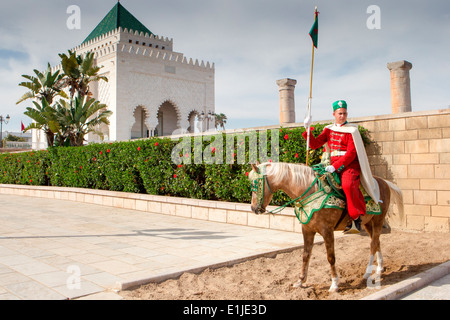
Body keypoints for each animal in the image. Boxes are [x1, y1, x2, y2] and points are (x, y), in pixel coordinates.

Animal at [250, 162, 404, 292]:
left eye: (255, 184)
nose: (253, 208)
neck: (310, 191)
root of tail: (383, 182)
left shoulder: (327, 231)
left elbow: (331, 257)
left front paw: (334, 284)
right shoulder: (307, 230)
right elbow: (305, 255)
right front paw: (300, 281)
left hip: (379, 220)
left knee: (373, 244)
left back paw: (367, 272)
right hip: (368, 223)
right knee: (376, 241)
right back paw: (379, 268)